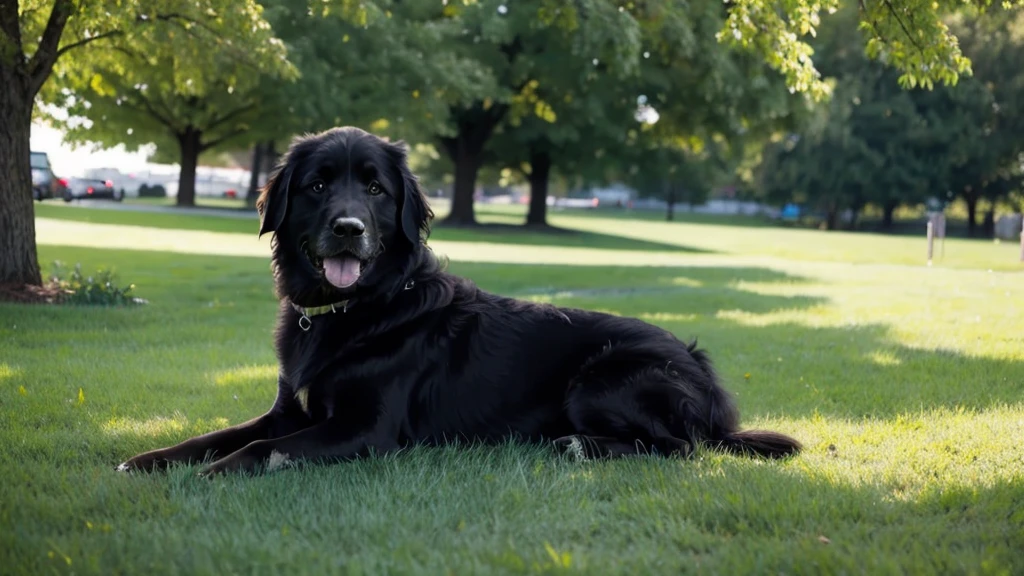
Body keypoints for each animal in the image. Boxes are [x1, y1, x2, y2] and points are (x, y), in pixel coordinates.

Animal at [114, 126, 798, 475]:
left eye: (375, 189)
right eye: (317, 186)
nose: (348, 228)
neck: (360, 310)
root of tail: (706, 376)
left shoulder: (366, 430)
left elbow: (259, 449)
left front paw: (210, 476)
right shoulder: (290, 412)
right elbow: (215, 435)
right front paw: (150, 460)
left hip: (600, 379)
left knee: (682, 447)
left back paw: (578, 446)